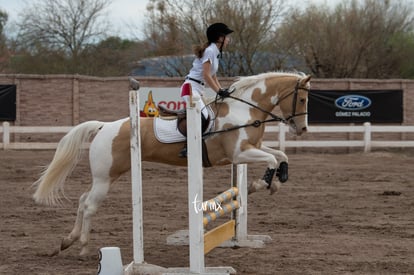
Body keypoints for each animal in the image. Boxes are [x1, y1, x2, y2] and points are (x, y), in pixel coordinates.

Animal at [32, 71, 310, 256]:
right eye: (303, 100)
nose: (302, 129)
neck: (244, 112)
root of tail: (104, 126)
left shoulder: (251, 148)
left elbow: (280, 156)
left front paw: (277, 181)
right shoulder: (239, 154)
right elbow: (272, 159)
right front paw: (259, 184)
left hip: (105, 176)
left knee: (82, 200)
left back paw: (68, 240)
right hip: (105, 177)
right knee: (89, 205)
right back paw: (83, 247)